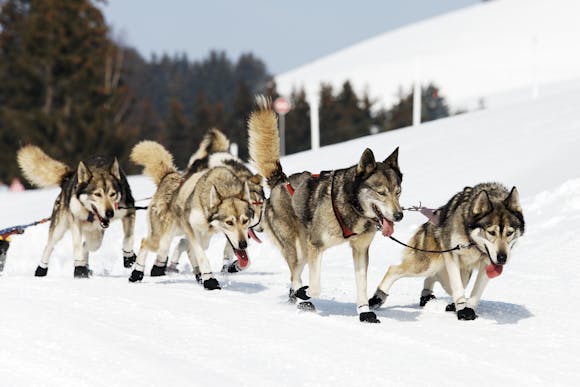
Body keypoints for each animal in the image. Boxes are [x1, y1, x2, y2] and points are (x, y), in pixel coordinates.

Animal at [16, 146, 136, 278]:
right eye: (97, 194)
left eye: (113, 194)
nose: (110, 213)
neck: (91, 213)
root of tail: (69, 177)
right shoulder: (75, 220)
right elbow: (77, 245)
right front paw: (79, 268)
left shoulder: (129, 212)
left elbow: (128, 238)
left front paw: (129, 257)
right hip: (59, 229)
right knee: (49, 246)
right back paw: (41, 269)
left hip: (96, 236)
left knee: (88, 245)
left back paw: (86, 265)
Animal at [130, 141, 253, 290]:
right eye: (229, 222)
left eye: (245, 221)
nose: (243, 244)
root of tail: (168, 176)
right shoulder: (191, 229)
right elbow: (202, 257)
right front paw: (211, 281)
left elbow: (246, 261)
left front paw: (233, 267)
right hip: (162, 240)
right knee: (145, 242)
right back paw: (137, 273)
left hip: (199, 239)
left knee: (187, 250)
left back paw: (199, 276)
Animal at [167, 129, 264, 274]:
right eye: (252, 208)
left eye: (261, 206)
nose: (261, 227)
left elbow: (240, 256)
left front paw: (232, 265)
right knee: (186, 243)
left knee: (185, 242)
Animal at [248, 97, 404, 324]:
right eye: (381, 192)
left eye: (398, 192)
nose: (399, 215)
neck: (350, 205)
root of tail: (281, 181)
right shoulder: (316, 246)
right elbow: (315, 287)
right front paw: (305, 292)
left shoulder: (360, 250)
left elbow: (361, 285)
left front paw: (364, 312)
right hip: (298, 248)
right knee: (295, 275)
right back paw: (300, 297)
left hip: (304, 250)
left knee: (295, 275)